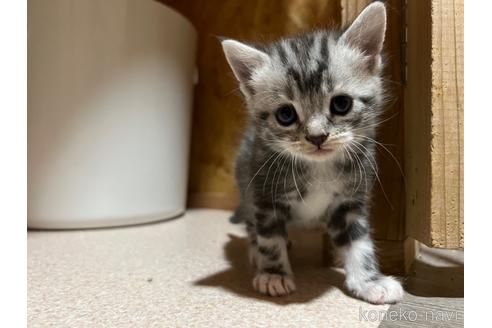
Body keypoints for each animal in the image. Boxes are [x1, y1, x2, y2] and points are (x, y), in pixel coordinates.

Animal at [221, 3, 402, 304]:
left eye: (341, 104)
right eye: (286, 114)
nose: (317, 137)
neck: (319, 167)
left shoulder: (349, 201)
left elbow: (358, 242)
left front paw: (369, 281)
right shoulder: (265, 196)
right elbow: (270, 238)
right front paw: (273, 273)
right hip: (246, 180)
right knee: (251, 223)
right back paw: (256, 251)